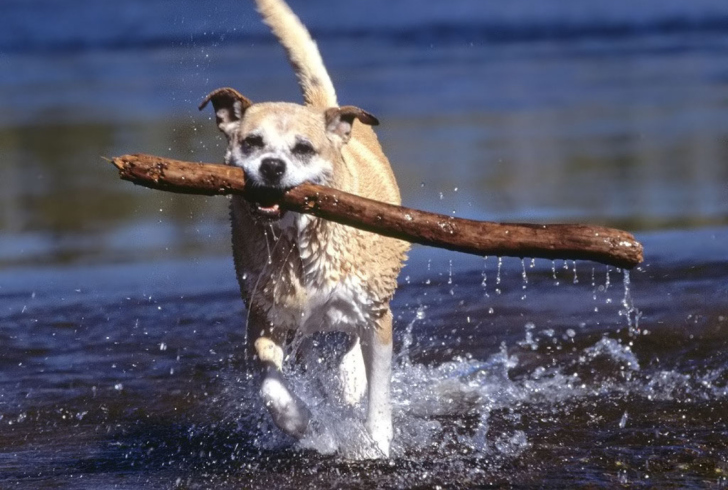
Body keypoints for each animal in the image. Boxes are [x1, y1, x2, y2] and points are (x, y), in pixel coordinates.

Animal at [199, 0, 410, 456]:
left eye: (303, 149)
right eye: (252, 143)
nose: (272, 167)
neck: (298, 240)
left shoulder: (377, 318)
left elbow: (379, 392)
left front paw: (375, 442)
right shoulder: (265, 317)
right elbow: (271, 386)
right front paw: (304, 423)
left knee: (350, 348)